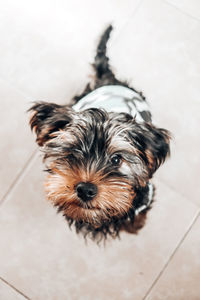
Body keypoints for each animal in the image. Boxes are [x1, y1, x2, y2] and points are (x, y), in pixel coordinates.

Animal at [28, 26, 170, 241]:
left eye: (116, 159)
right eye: (73, 153)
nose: (86, 190)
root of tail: (108, 79)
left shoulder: (147, 195)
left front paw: (136, 225)